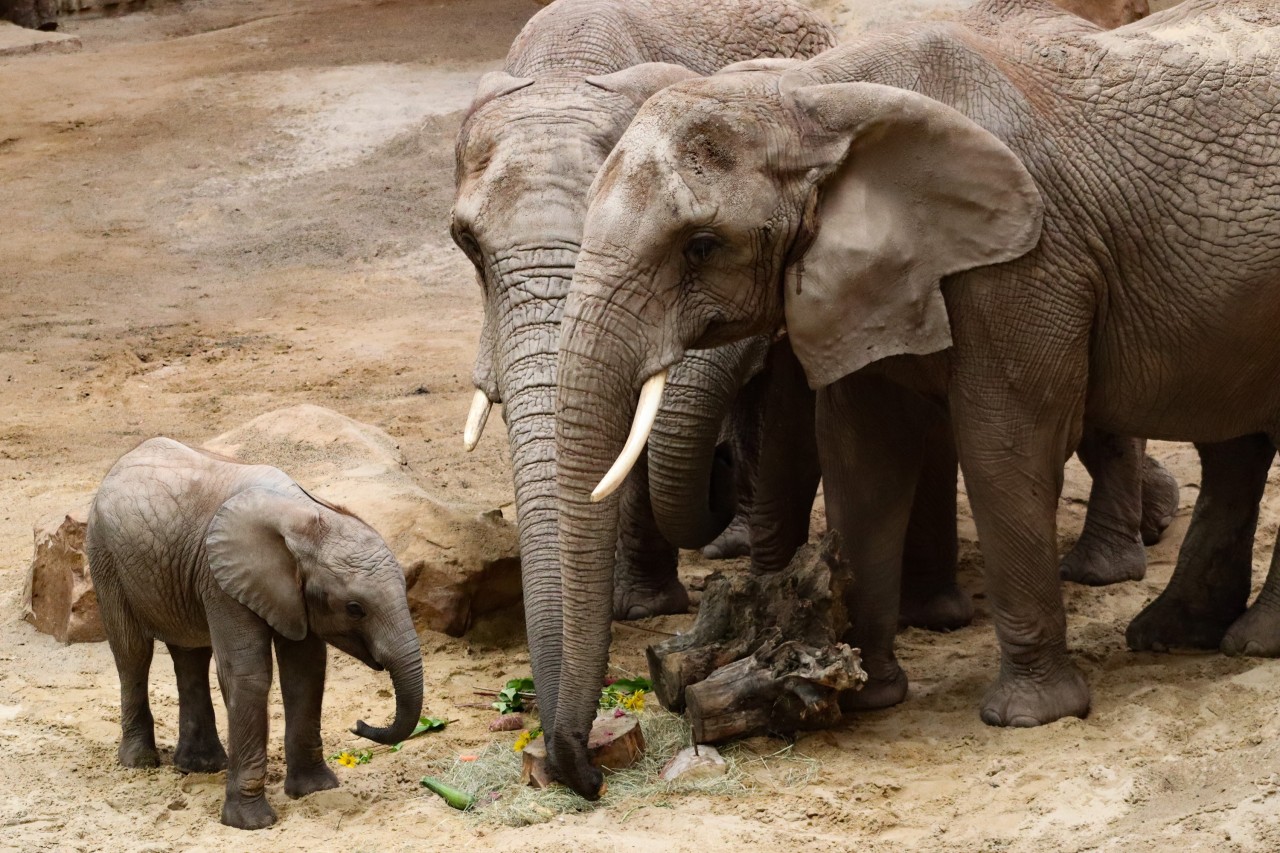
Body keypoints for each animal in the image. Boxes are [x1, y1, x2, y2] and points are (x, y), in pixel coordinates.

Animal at [86, 435, 424, 824]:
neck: (304, 518)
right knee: (132, 653)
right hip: (104, 554)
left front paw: (316, 791)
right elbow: (249, 675)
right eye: (355, 609)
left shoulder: (290, 596)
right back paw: (140, 763)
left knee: (191, 656)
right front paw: (251, 823)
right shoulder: (222, 578)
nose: (358, 724)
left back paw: (202, 767)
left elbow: (306, 672)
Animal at [550, 0, 1280, 799]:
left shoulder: (1025, 262)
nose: (583, 772)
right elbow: (862, 458)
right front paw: (870, 696)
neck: (813, 98)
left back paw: (1250, 643)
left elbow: (1003, 444)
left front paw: (1028, 716)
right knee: (1234, 447)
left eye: (703, 245)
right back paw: (1174, 634)